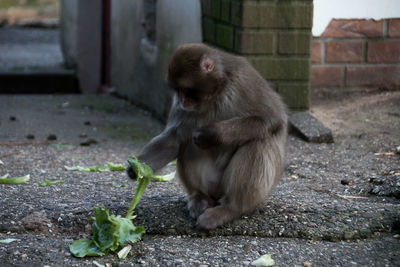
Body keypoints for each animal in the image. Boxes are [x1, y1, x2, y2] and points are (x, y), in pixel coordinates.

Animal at [128, 44, 288, 230]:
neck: (216, 93)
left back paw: (230, 209)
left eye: (186, 89)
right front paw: (137, 167)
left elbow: (271, 118)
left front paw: (210, 135)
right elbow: (175, 139)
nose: (181, 99)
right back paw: (200, 198)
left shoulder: (245, 80)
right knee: (186, 143)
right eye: (178, 90)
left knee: (259, 140)